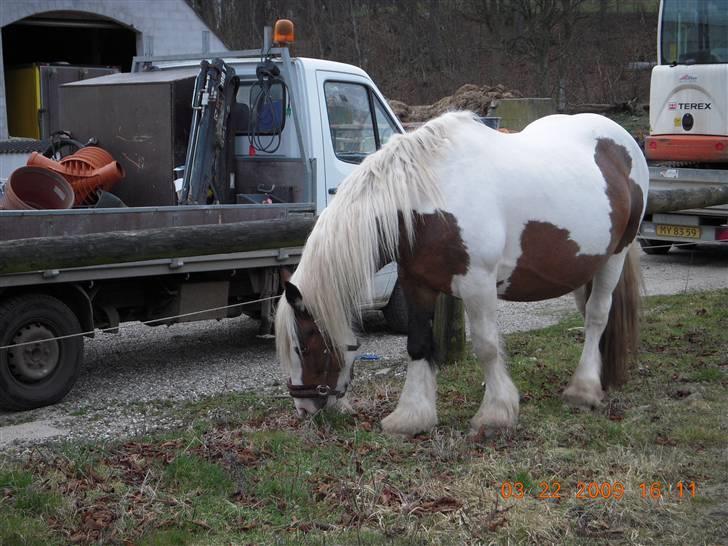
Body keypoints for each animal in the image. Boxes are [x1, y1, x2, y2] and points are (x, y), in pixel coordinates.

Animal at [274, 111, 648, 434]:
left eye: (302, 346)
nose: (303, 409)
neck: (428, 200)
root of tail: (623, 140)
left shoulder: (477, 284)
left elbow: (486, 346)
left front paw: (496, 414)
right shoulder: (416, 283)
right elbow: (417, 344)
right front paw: (411, 417)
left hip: (615, 255)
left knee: (597, 316)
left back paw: (583, 390)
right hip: (584, 265)